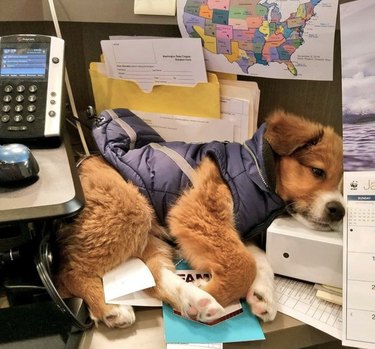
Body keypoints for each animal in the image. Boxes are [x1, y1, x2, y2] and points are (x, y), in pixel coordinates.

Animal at [54, 109, 346, 326]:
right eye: (317, 171)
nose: (339, 210)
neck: (258, 168)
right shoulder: (199, 213)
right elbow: (244, 264)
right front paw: (217, 290)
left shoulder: (237, 229)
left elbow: (260, 261)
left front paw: (263, 295)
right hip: (128, 208)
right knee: (68, 273)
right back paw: (111, 308)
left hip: (149, 233)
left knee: (155, 277)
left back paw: (193, 301)